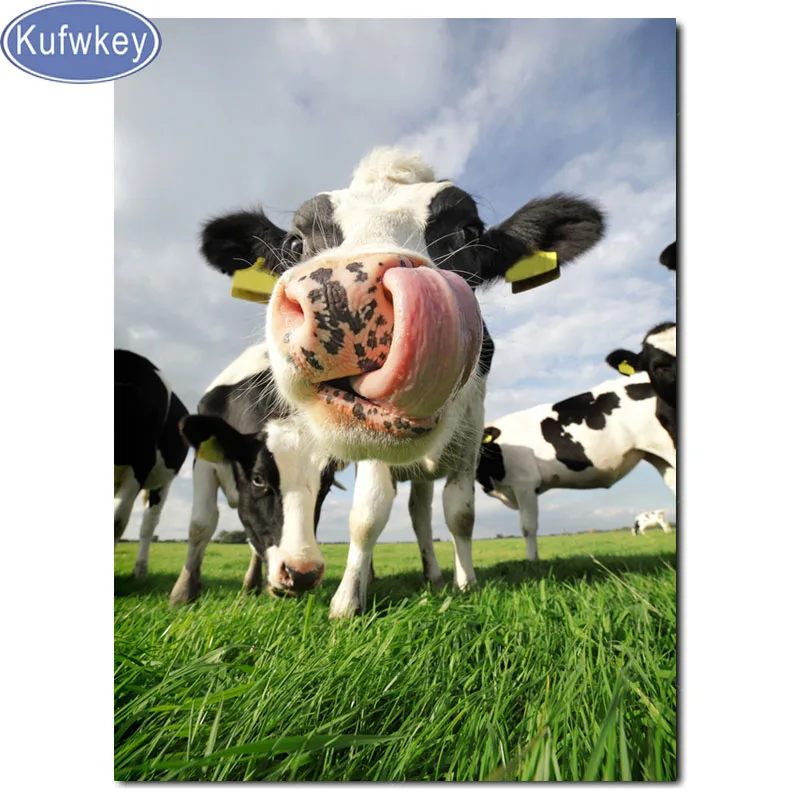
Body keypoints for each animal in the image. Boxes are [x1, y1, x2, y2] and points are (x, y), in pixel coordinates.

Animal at [168, 344, 340, 606]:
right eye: (258, 479)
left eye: (327, 484)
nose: (302, 574)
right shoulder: (204, 462)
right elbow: (201, 523)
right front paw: (183, 593)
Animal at [198, 147, 605, 617]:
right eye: (296, 243)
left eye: (468, 231)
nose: (344, 293)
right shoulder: (370, 446)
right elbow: (367, 515)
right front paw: (347, 601)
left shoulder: (469, 440)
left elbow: (460, 514)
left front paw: (466, 583)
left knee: (421, 512)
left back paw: (433, 575)